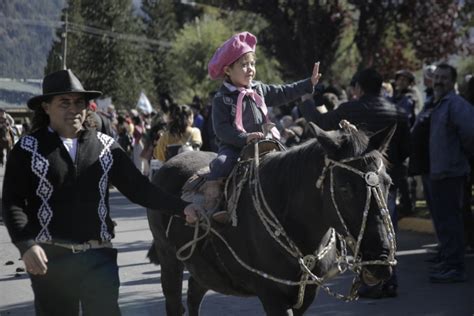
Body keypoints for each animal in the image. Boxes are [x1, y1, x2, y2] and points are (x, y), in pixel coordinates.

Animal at [147, 123, 396, 316]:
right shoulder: (272, 295)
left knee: (194, 293)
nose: (380, 260)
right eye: (344, 188)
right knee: (175, 302)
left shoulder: (307, 294)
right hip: (169, 260)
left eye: (388, 182)